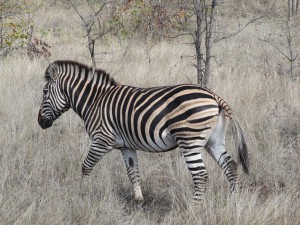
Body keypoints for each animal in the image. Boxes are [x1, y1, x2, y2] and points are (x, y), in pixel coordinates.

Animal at [37, 59, 248, 202]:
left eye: (44, 92)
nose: (40, 122)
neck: (94, 101)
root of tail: (214, 96)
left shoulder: (101, 140)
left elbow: (86, 166)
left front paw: (84, 193)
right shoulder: (126, 146)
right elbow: (133, 172)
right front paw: (139, 200)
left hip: (189, 140)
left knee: (201, 175)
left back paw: (196, 207)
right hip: (213, 140)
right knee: (230, 165)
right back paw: (233, 200)